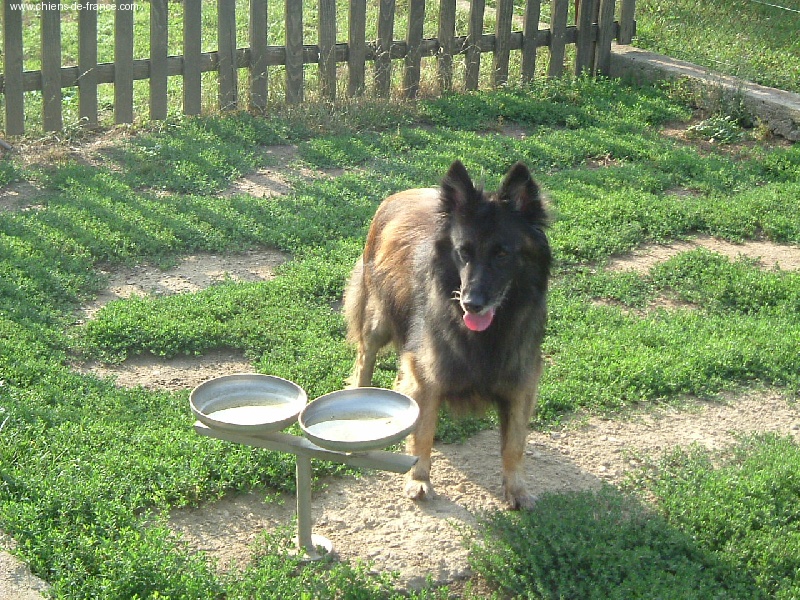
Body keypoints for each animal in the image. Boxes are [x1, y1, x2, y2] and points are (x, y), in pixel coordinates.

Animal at [344, 158, 552, 506]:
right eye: (463, 252)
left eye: (502, 253)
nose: (472, 304)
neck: (489, 334)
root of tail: (400, 193)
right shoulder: (426, 374)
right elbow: (423, 434)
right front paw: (418, 479)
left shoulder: (520, 383)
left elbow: (514, 444)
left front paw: (517, 490)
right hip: (377, 320)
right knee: (364, 360)